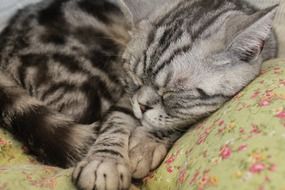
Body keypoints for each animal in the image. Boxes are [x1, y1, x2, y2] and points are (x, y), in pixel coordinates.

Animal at [0, 0, 276, 189]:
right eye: (134, 78)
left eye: (171, 93)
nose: (142, 107)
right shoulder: (124, 97)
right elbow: (115, 123)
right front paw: (105, 162)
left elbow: (180, 121)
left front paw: (145, 144)